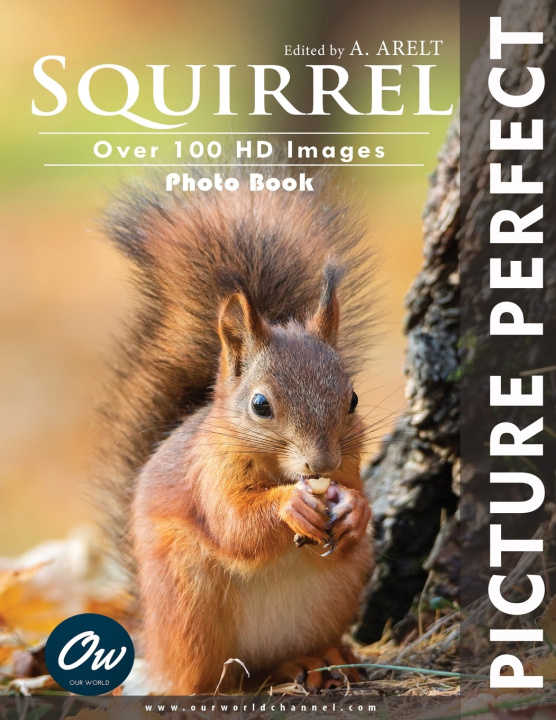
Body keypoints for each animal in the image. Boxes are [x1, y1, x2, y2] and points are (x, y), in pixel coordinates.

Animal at [95, 167, 375, 694]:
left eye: (352, 400)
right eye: (260, 405)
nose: (321, 463)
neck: (279, 470)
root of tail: (152, 641)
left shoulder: (350, 461)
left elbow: (356, 497)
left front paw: (353, 508)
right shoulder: (208, 473)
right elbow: (234, 525)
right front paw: (291, 507)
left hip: (337, 591)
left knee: (275, 661)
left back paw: (318, 659)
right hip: (188, 601)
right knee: (207, 677)